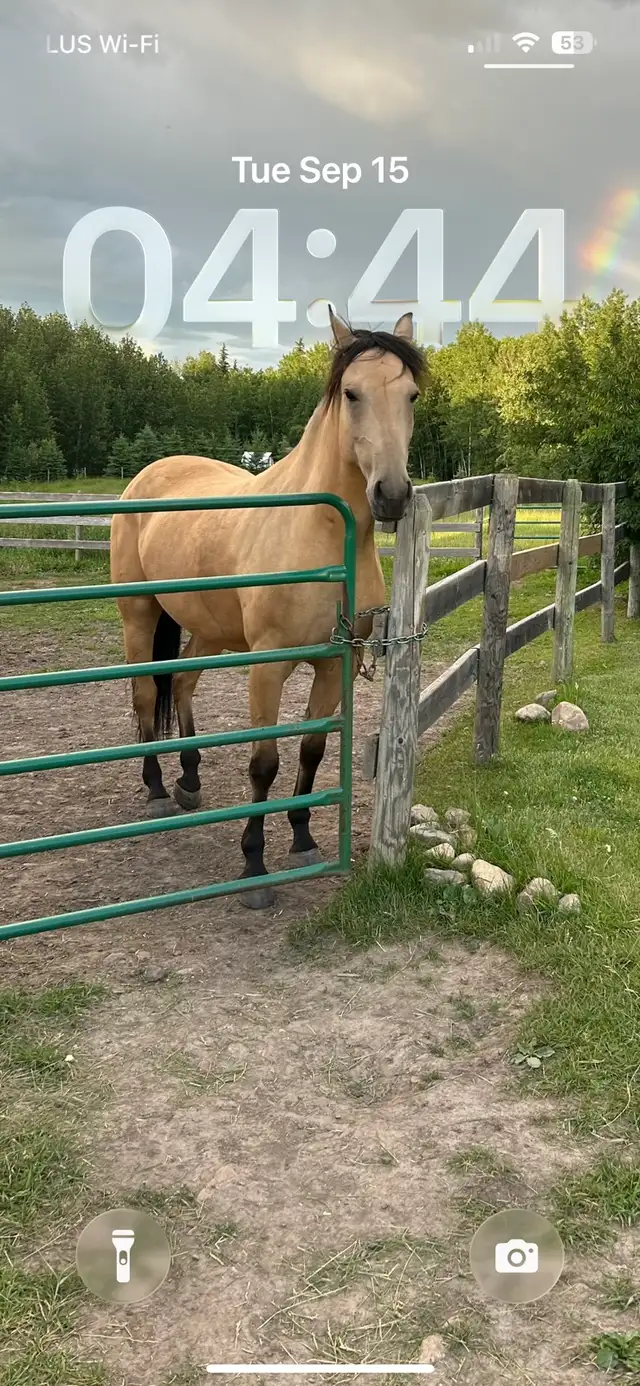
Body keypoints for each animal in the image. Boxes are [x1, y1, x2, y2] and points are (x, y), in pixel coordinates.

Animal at [110, 309, 424, 907]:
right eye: (352, 393)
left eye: (412, 395)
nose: (392, 495)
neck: (322, 532)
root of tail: (146, 475)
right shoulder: (268, 666)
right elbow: (264, 763)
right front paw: (254, 865)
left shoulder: (334, 665)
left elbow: (311, 751)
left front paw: (302, 842)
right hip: (139, 614)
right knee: (144, 695)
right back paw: (157, 789)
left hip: (208, 630)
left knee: (180, 684)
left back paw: (189, 781)